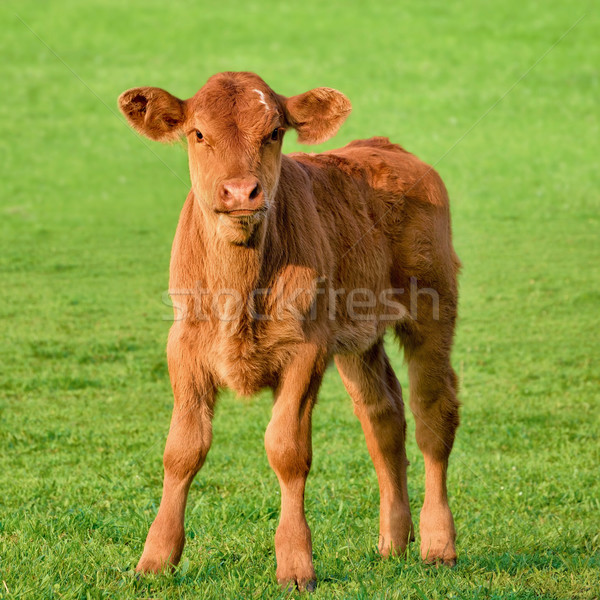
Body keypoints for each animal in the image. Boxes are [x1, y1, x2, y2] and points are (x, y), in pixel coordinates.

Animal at [119, 70, 462, 592]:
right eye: (198, 134)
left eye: (274, 133)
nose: (241, 192)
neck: (239, 288)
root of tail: (389, 148)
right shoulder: (184, 346)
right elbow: (182, 450)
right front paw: (155, 559)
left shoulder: (306, 350)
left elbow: (287, 449)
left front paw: (296, 564)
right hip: (358, 339)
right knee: (383, 417)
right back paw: (393, 541)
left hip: (433, 309)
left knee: (433, 415)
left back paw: (438, 544)